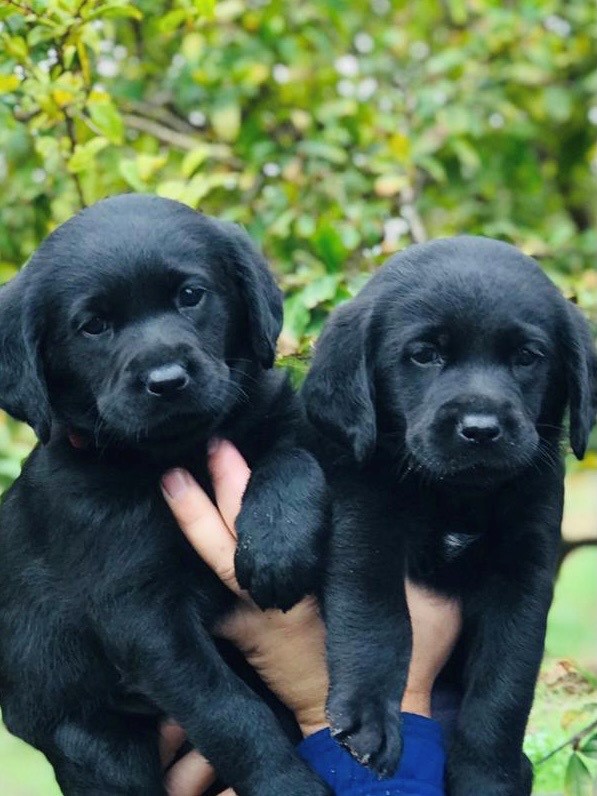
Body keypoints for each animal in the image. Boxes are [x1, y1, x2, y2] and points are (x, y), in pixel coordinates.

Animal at [0, 194, 328, 796]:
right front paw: (285, 784)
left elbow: (294, 459)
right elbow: (228, 711)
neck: (182, 454)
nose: (167, 380)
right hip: (95, 744)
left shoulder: (277, 420)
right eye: (93, 326)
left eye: (191, 295)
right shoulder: (142, 615)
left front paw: (277, 545)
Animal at [302, 236, 596, 796]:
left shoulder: (525, 566)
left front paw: (487, 776)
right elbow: (377, 613)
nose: (480, 429)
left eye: (527, 357)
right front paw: (369, 718)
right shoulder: (364, 517)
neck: (456, 495)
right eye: (424, 355)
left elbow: (505, 679)